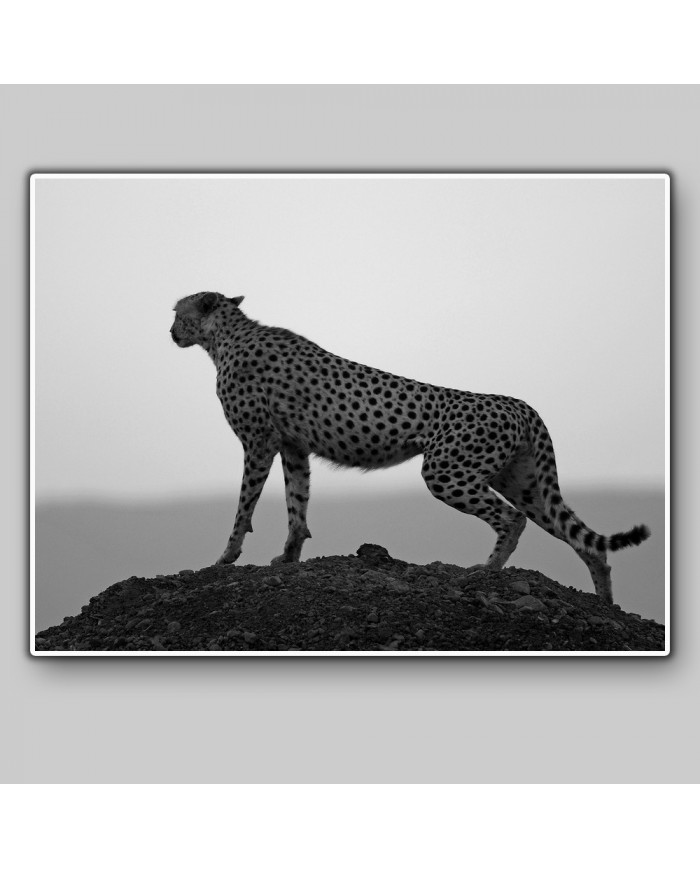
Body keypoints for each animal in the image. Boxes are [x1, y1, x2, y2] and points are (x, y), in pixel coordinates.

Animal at [170, 292, 650, 605]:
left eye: (177, 311)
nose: (170, 330)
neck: (225, 336)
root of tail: (518, 402)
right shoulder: (293, 447)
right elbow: (297, 505)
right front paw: (288, 557)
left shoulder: (259, 443)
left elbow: (244, 507)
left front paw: (225, 558)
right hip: (522, 482)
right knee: (585, 541)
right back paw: (606, 603)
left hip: (446, 472)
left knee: (511, 519)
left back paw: (487, 572)